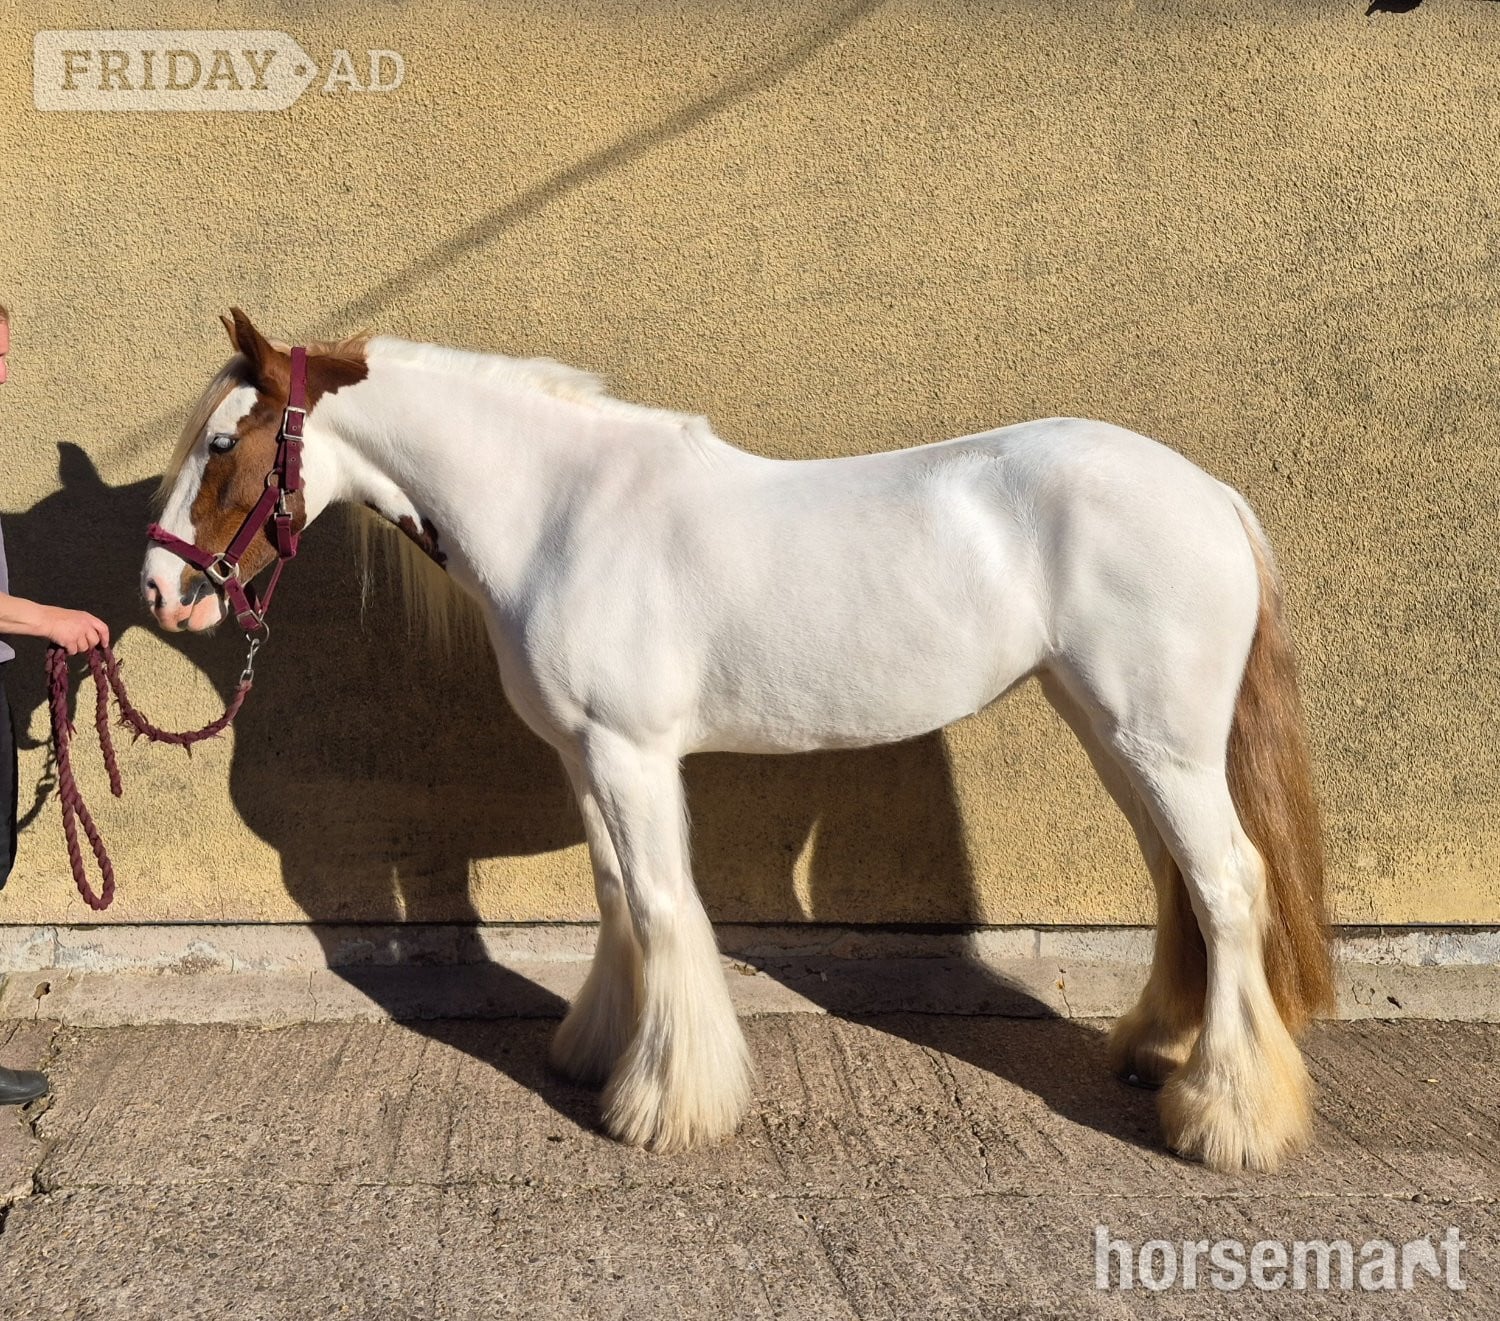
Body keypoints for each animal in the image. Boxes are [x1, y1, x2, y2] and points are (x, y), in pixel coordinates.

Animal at [144, 309, 1333, 1172]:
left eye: (223, 442)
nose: (160, 592)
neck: (559, 510)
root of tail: (1211, 495)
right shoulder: (584, 756)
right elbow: (618, 897)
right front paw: (595, 1053)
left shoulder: (630, 752)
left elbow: (664, 904)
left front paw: (666, 1105)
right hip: (1116, 734)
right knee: (1179, 882)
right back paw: (1160, 1054)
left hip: (1159, 742)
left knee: (1229, 884)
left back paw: (1227, 1120)